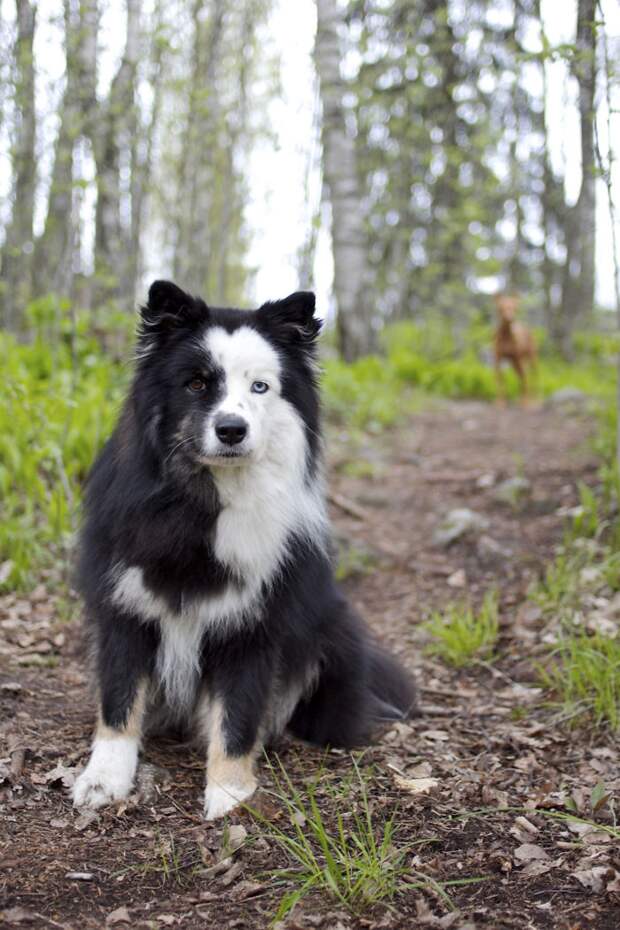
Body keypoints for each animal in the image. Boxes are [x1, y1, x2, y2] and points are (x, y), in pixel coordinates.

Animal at [70, 280, 414, 816]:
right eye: (196, 384)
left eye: (260, 387)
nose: (232, 430)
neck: (200, 505)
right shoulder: (124, 608)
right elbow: (119, 701)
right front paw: (103, 780)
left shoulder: (252, 626)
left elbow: (237, 716)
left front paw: (230, 796)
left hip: (332, 634)